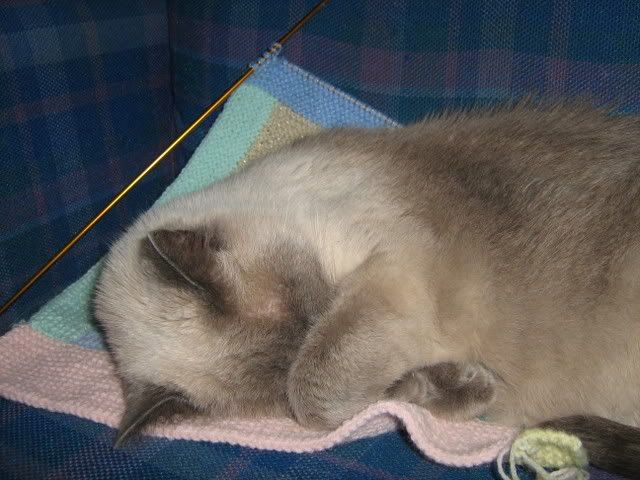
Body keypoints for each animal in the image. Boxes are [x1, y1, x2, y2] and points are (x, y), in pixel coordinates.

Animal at [94, 102, 640, 476]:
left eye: (309, 313)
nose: (315, 327)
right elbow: (364, 401)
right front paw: (450, 384)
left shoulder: (391, 272)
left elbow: (313, 396)